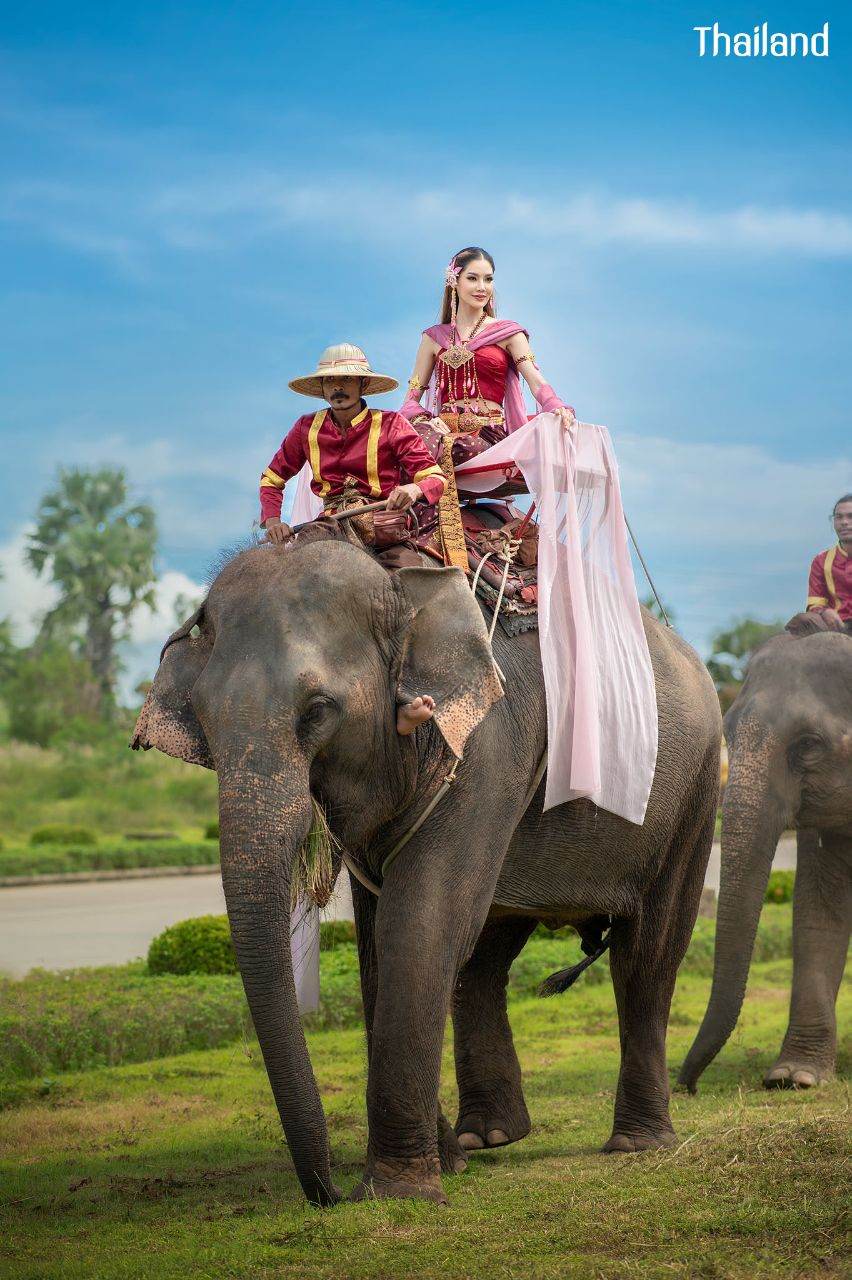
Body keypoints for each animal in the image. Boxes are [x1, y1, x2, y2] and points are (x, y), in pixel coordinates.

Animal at [131, 535, 716, 1203]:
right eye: (203, 717)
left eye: (317, 710)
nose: (326, 1194)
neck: (399, 582)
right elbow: (383, 939)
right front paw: (439, 1167)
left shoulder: (487, 746)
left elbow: (419, 922)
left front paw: (396, 1192)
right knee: (485, 951)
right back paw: (486, 1138)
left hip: (694, 794)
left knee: (647, 954)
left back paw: (637, 1144)